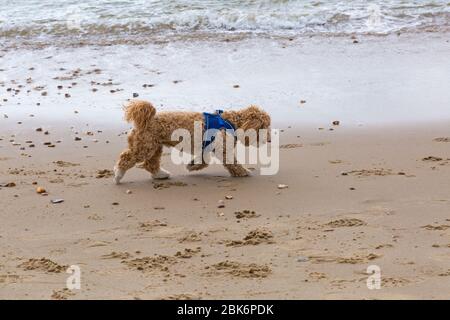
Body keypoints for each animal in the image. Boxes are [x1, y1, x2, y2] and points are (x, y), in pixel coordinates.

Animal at [114, 100, 270, 185]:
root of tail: (147, 120)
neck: (232, 122)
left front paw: (191, 165)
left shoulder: (207, 148)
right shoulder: (223, 150)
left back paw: (160, 174)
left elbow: (203, 161)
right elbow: (234, 164)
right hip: (145, 147)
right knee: (126, 158)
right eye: (265, 127)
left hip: (154, 146)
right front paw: (244, 172)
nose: (269, 139)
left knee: (150, 163)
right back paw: (118, 175)